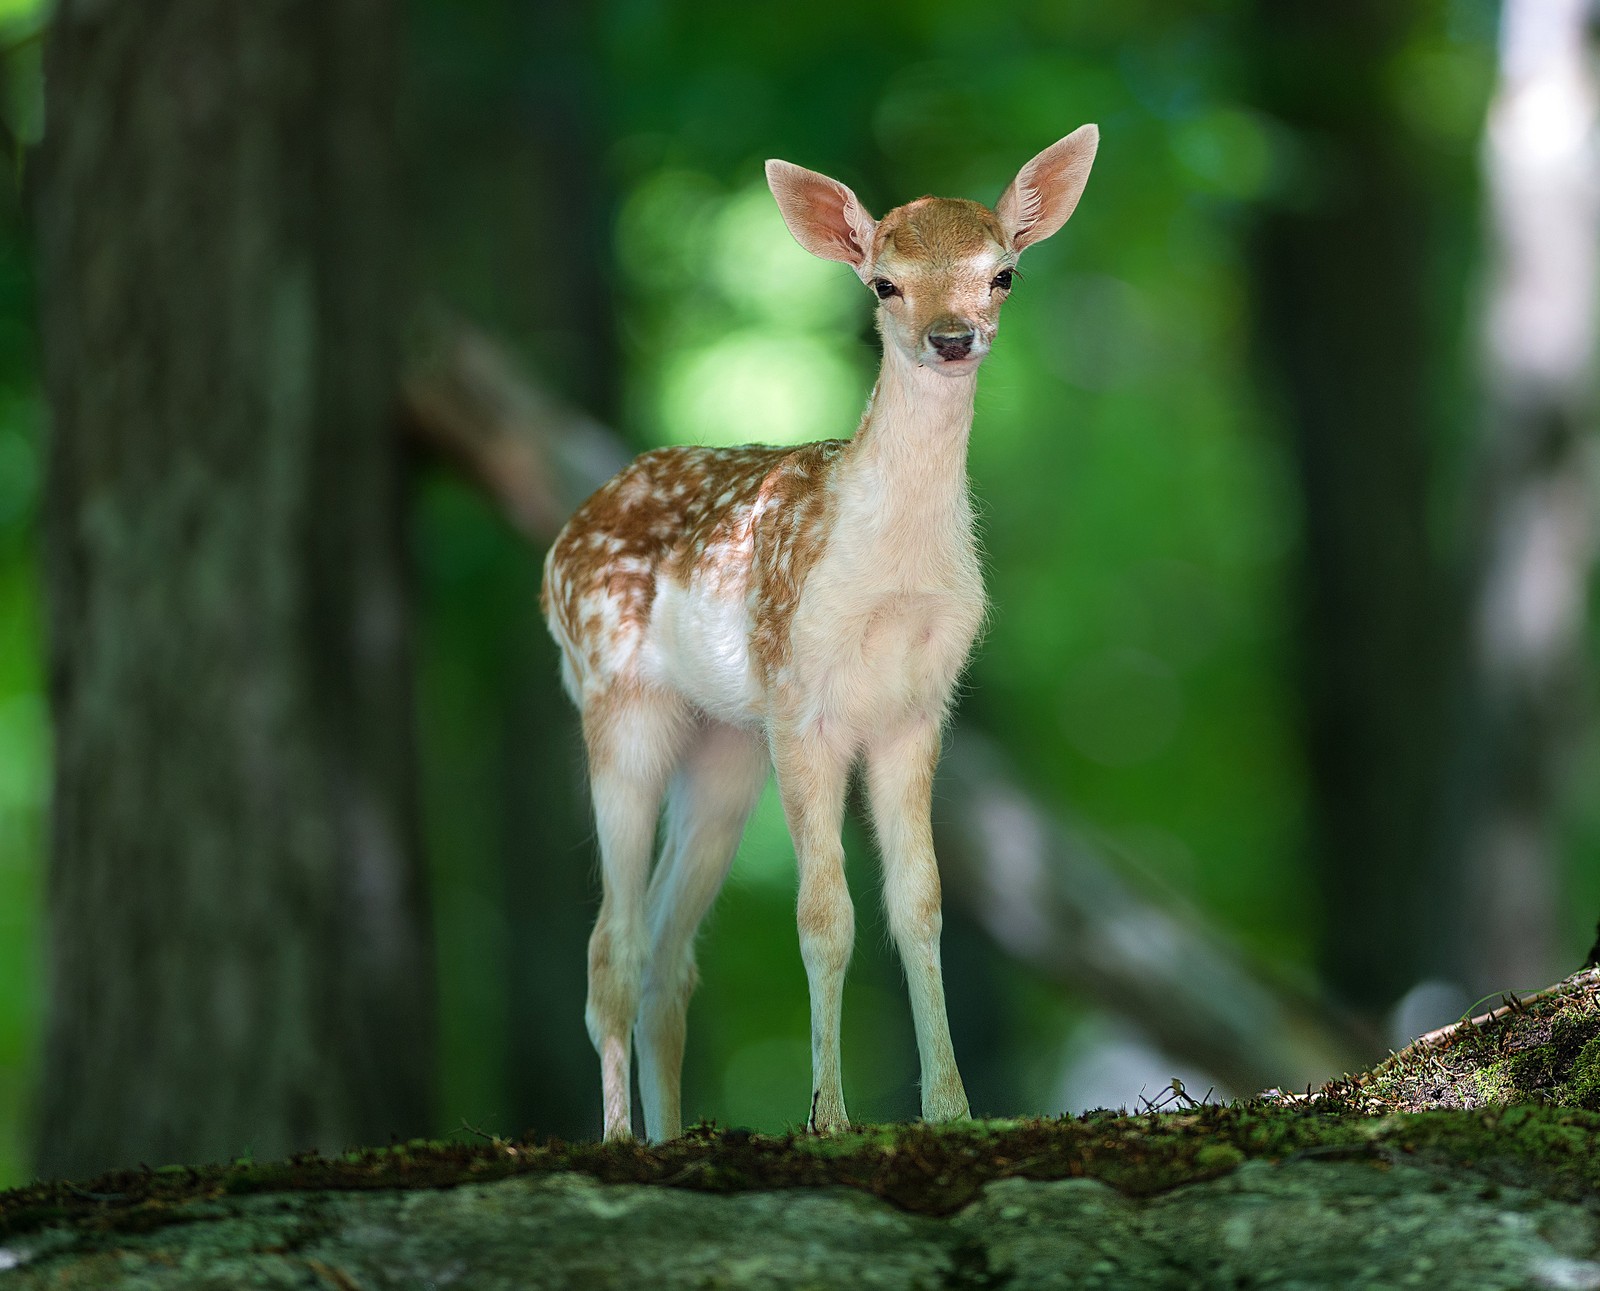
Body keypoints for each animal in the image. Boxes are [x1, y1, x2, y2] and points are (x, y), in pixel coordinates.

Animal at [544, 128, 1094, 1139]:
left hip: (727, 743)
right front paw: (828, 1117)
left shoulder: (918, 710)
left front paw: (952, 1108)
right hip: (617, 697)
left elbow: (920, 905)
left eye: (1002, 273)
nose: (951, 337)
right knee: (613, 943)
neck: (890, 573)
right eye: (883, 282)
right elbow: (824, 914)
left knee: (669, 956)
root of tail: (564, 535)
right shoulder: (803, 701)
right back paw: (620, 1138)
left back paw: (671, 1132)